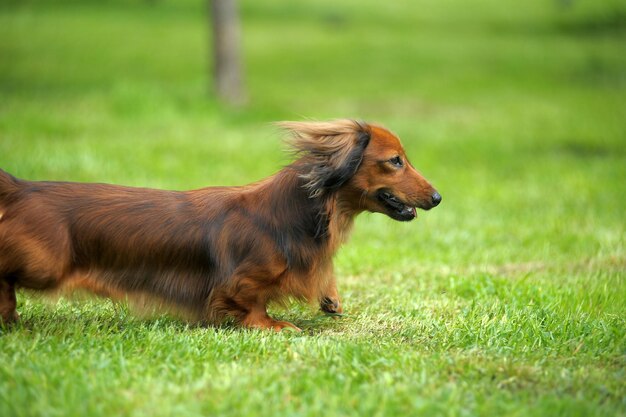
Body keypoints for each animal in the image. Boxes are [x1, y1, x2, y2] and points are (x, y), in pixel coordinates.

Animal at [0, 118, 438, 330]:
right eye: (395, 160)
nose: (437, 198)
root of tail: (21, 188)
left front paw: (330, 297)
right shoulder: (239, 283)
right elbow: (249, 304)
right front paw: (274, 325)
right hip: (45, 265)